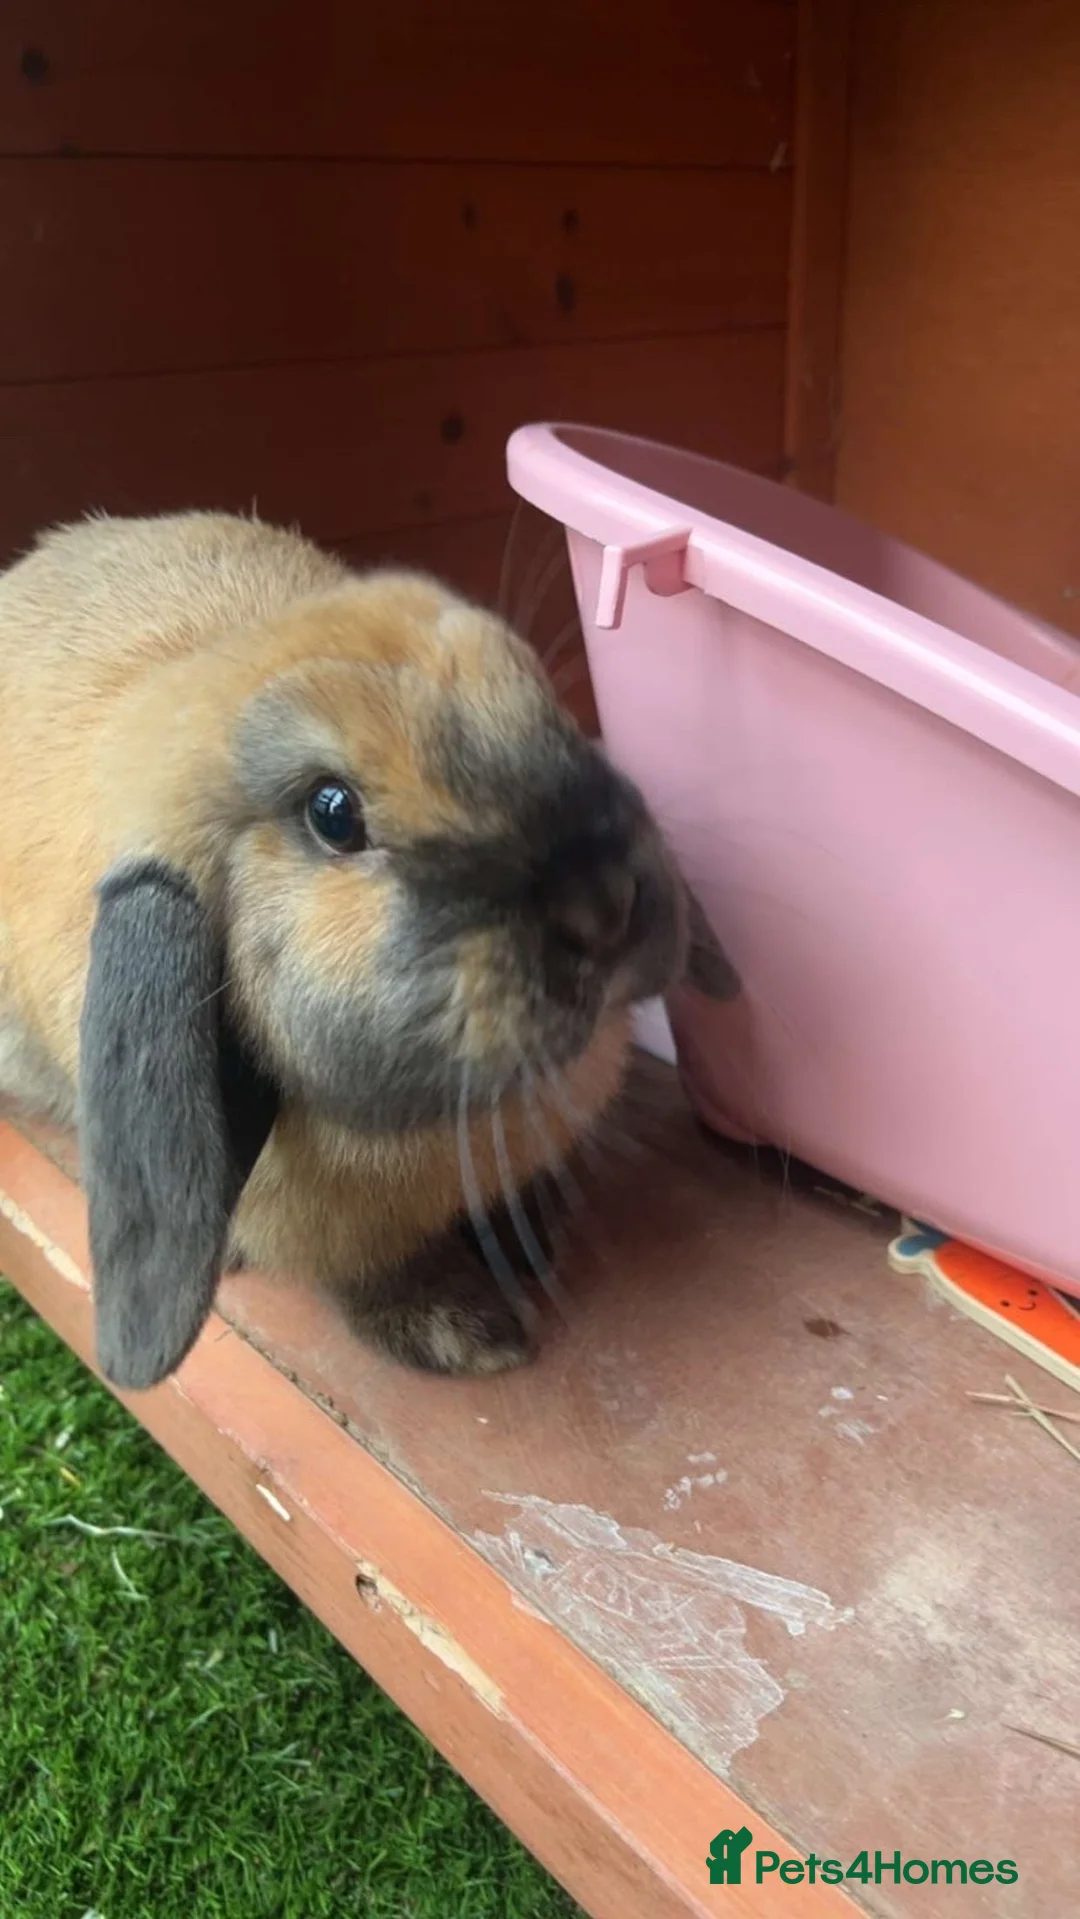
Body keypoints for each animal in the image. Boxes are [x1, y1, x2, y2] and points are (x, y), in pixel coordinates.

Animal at [0, 508, 719, 1393]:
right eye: (333, 812)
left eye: (536, 693)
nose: (609, 899)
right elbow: (369, 1278)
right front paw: (463, 1334)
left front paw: (538, 1232)